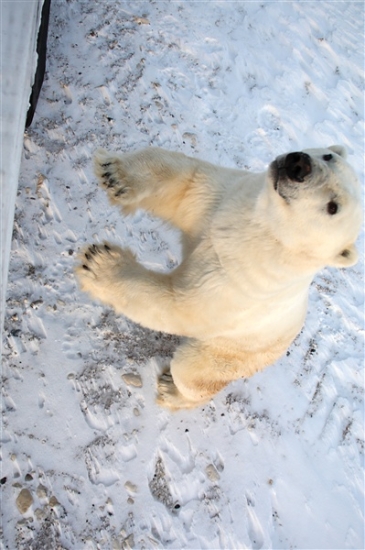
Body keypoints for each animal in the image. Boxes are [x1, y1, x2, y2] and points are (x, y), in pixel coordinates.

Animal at [74, 144, 362, 412]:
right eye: (328, 156)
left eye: (333, 207)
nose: (298, 164)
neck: (262, 235)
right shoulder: (227, 201)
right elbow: (188, 185)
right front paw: (115, 173)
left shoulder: (242, 281)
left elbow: (181, 305)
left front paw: (99, 262)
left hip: (234, 352)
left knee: (192, 371)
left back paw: (170, 390)